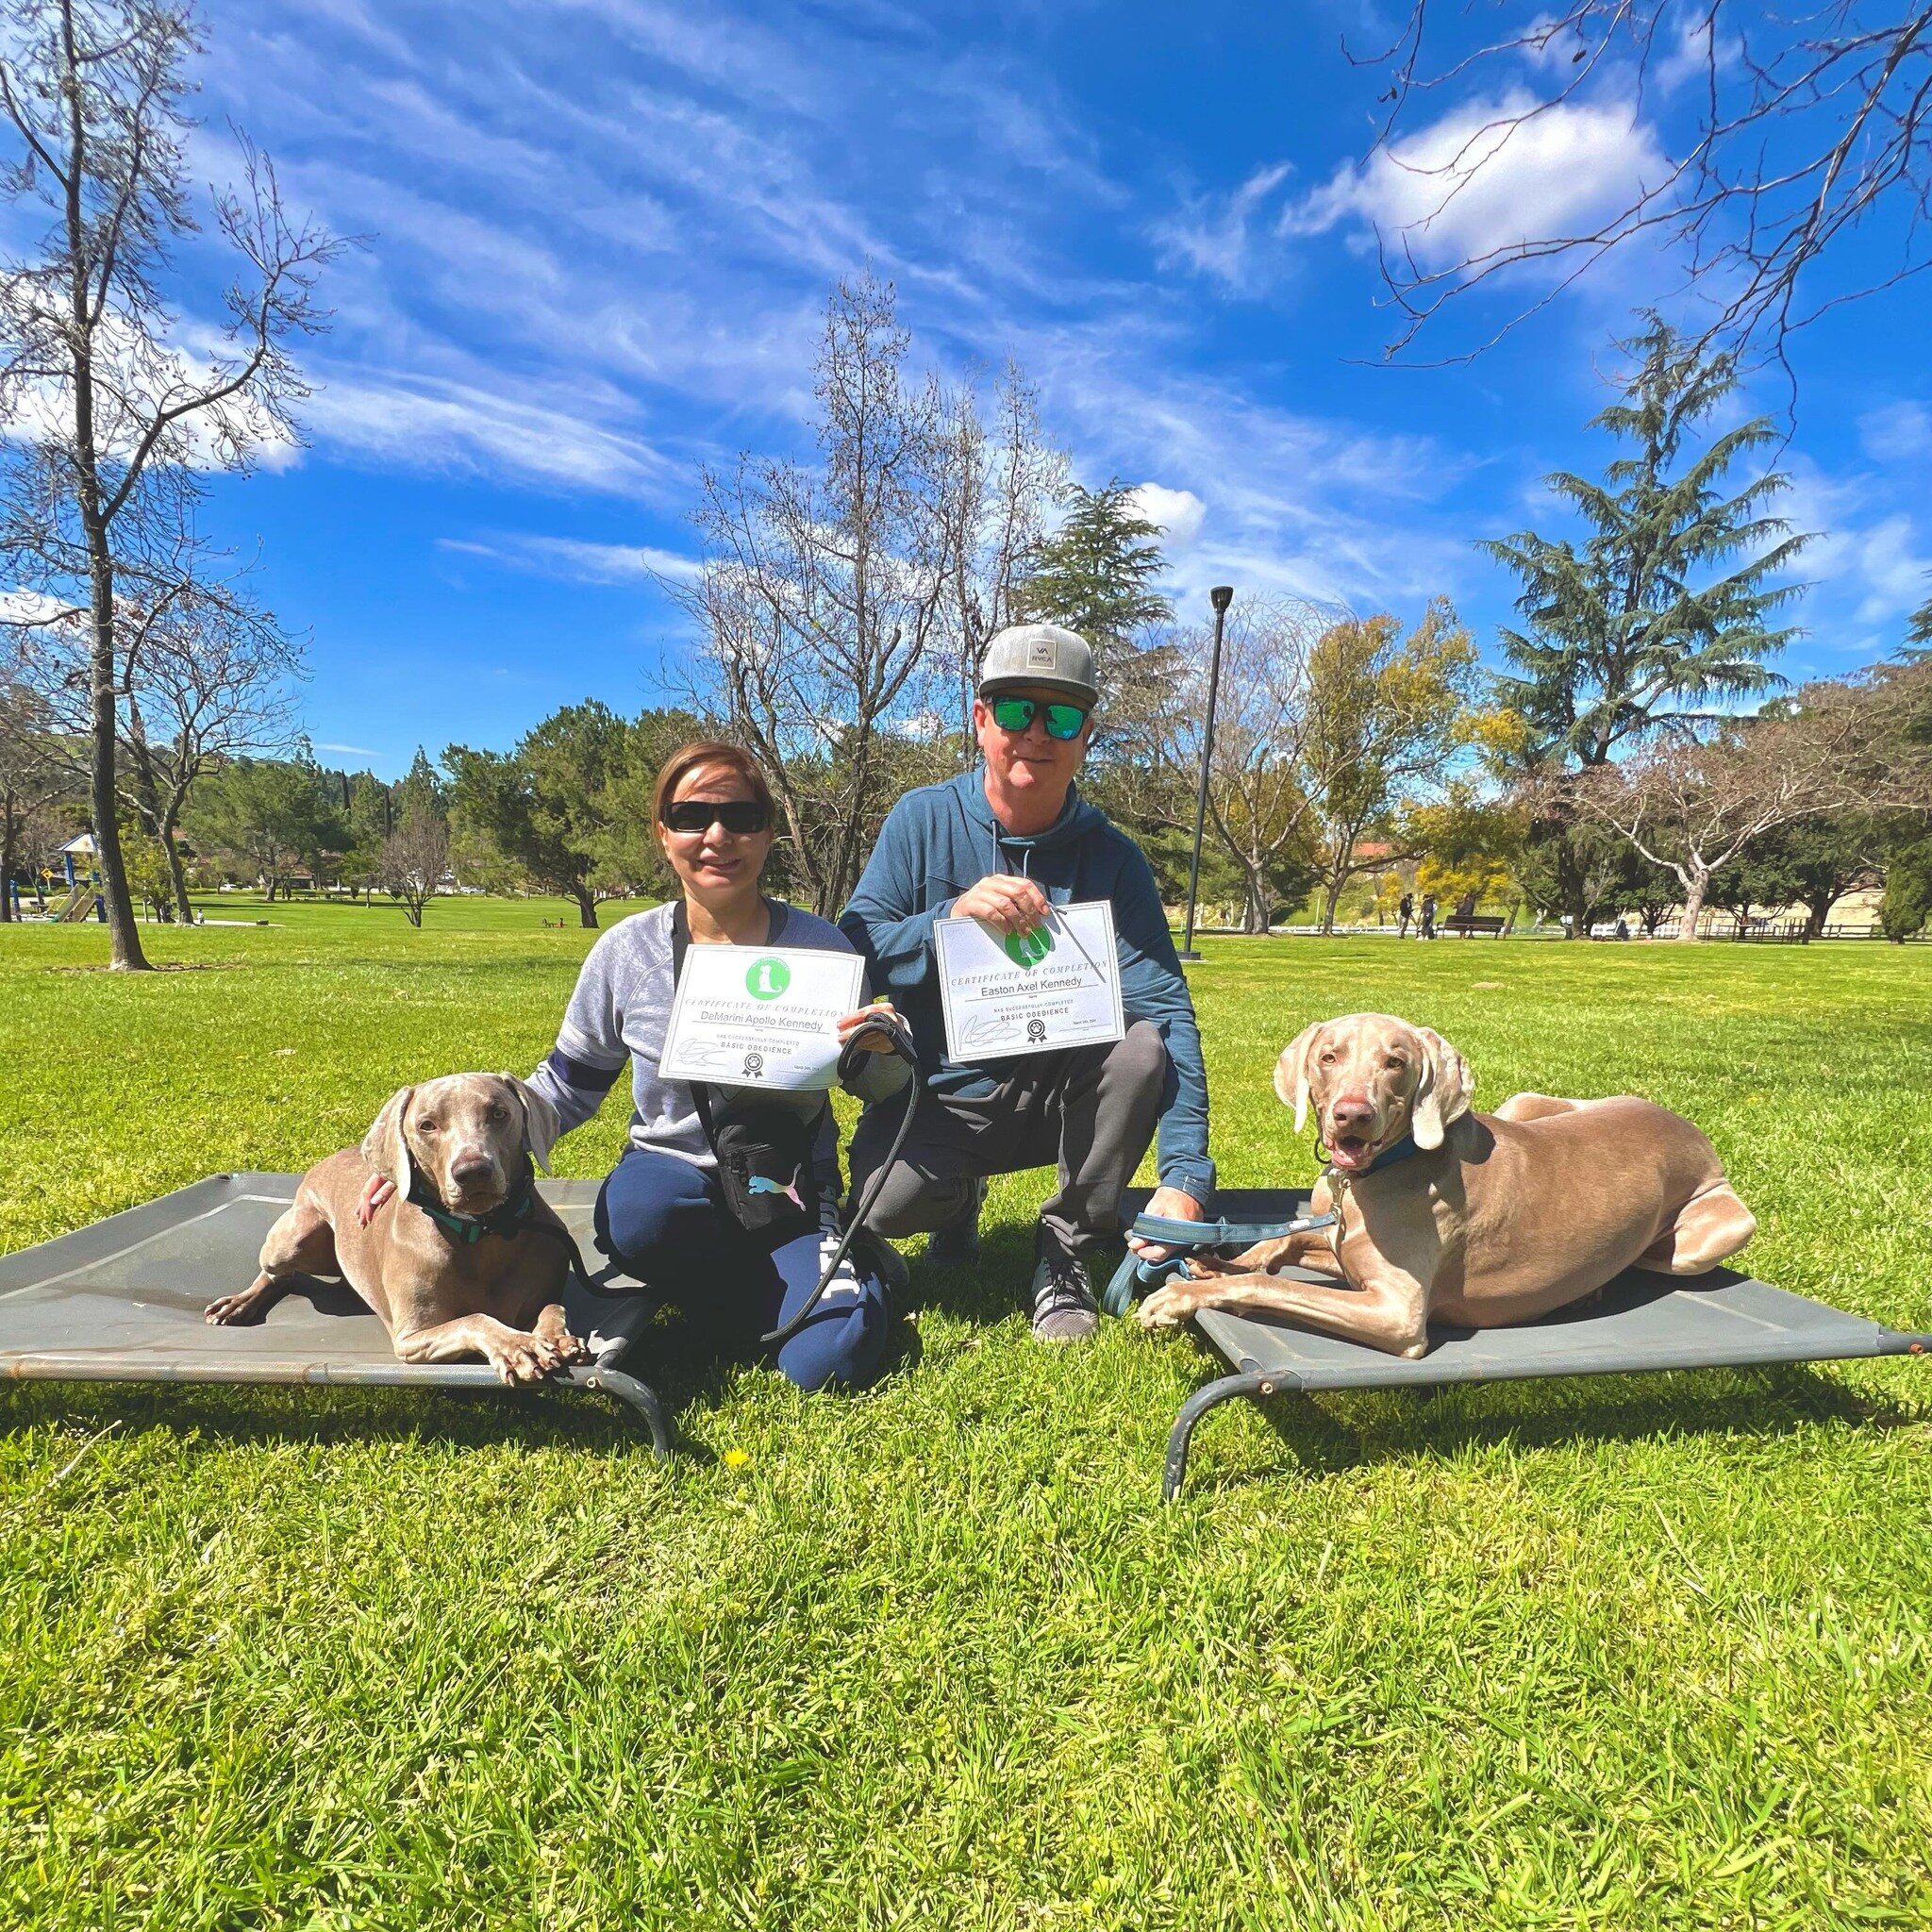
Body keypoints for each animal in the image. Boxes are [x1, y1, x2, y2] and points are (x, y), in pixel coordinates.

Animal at [208, 1074, 587, 1391]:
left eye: (499, 1113)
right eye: (427, 1125)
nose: (472, 1171)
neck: (482, 1234)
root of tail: (329, 1157)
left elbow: (553, 1306)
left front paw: (556, 1339)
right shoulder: (411, 1338)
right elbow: (476, 1318)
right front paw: (517, 1346)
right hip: (292, 1238)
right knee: (277, 1271)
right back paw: (239, 1302)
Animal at [1136, 1012, 1761, 1359]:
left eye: (1395, 1062)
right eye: (1328, 1057)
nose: (1352, 1115)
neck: (1372, 1177)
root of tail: (1689, 1129)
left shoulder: (1398, 1313)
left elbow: (1275, 1284)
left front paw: (1185, 1295)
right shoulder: (1341, 1246)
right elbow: (1284, 1243)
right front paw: (1217, 1260)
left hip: (1718, 1230)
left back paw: (1594, 1288)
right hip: (1526, 1103)